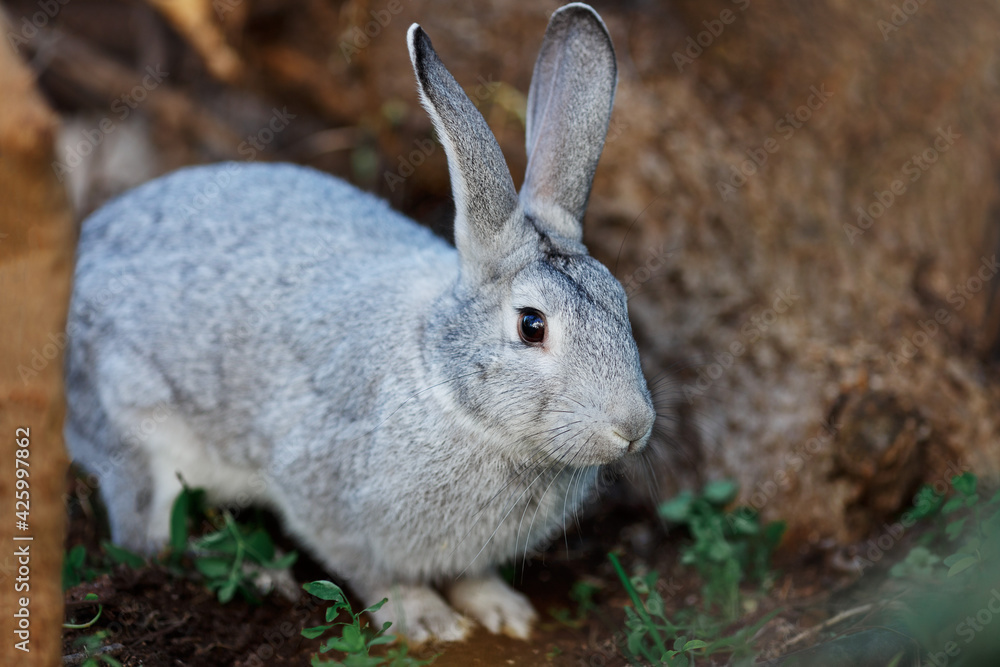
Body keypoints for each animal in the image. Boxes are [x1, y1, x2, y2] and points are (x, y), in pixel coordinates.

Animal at [64, 2, 656, 643]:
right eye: (531, 325)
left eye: (620, 302)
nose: (633, 426)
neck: (441, 379)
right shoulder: (322, 492)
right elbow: (373, 573)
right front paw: (427, 622)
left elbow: (472, 577)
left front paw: (504, 611)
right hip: (138, 426)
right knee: (147, 538)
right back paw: (260, 575)